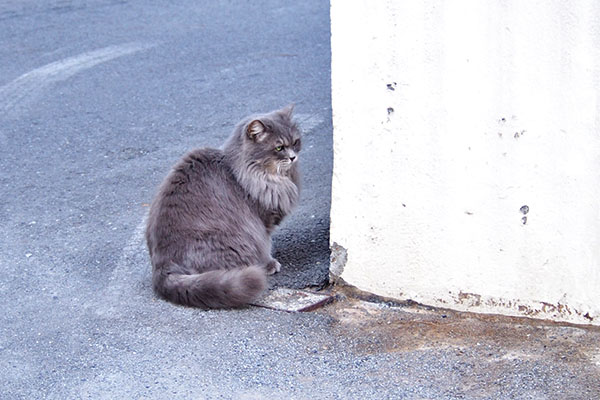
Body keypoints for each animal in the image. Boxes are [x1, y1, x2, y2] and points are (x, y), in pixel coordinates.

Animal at [145, 104, 300, 308]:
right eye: (279, 147)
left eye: (296, 141)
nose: (293, 157)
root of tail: (162, 267)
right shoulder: (261, 223)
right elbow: (265, 245)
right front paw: (270, 264)